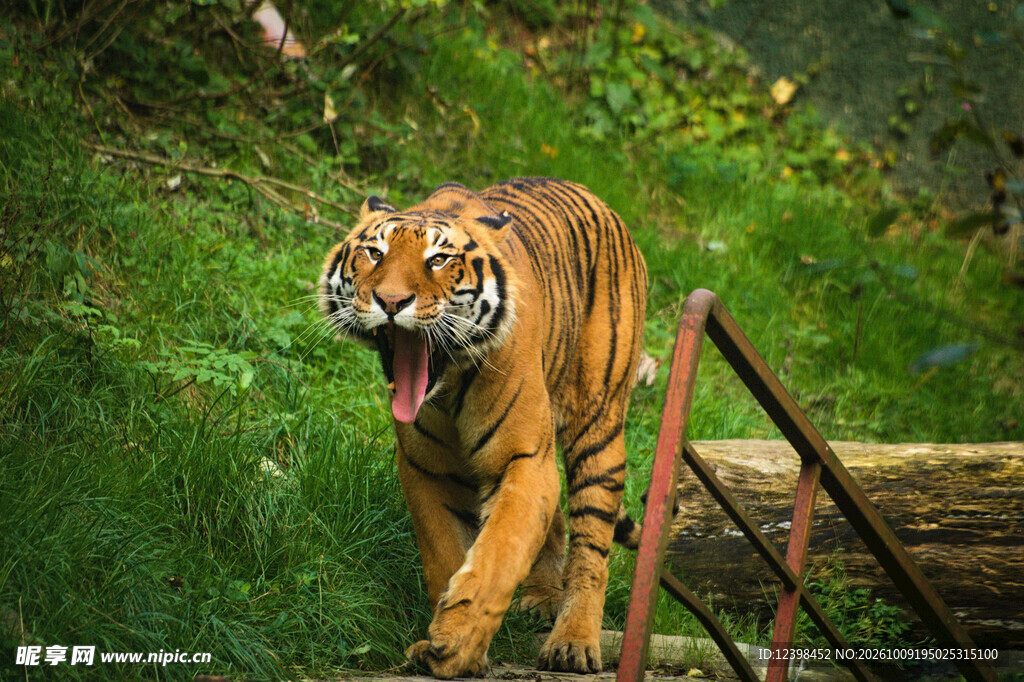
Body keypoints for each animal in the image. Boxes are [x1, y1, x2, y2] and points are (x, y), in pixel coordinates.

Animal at [318, 177, 647, 678]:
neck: (449, 383)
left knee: (592, 545)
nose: (391, 302)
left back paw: (573, 642)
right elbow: (445, 556)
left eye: (438, 260)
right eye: (374, 253)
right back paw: (541, 598)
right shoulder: (426, 470)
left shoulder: (522, 460)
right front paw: (444, 642)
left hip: (599, 425)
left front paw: (457, 645)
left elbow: (498, 553)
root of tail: (599, 200)